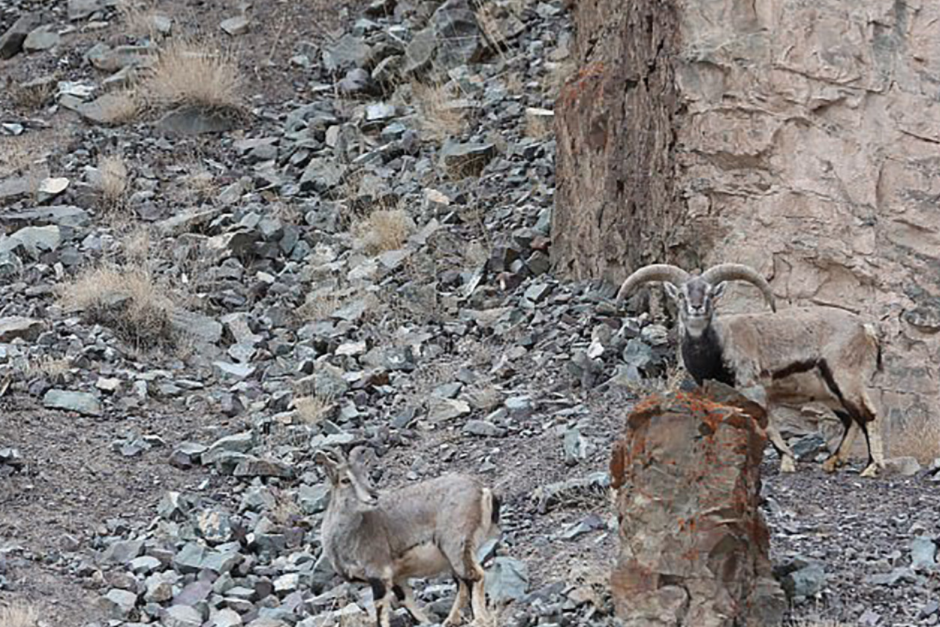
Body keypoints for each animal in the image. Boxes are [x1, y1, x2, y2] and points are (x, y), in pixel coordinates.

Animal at [316, 448, 504, 624]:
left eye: (366, 475)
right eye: (345, 480)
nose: (373, 495)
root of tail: (483, 491)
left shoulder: (378, 572)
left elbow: (380, 610)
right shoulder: (397, 577)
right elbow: (406, 601)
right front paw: (425, 621)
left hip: (456, 546)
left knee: (474, 577)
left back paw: (479, 619)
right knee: (462, 585)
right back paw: (451, 620)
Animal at [620, 262, 884, 478]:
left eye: (710, 293)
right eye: (682, 294)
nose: (696, 307)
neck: (720, 344)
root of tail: (866, 329)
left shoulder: (753, 388)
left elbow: (767, 424)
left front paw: (787, 462)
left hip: (844, 379)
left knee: (868, 415)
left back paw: (871, 467)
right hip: (829, 393)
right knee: (851, 419)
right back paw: (833, 462)